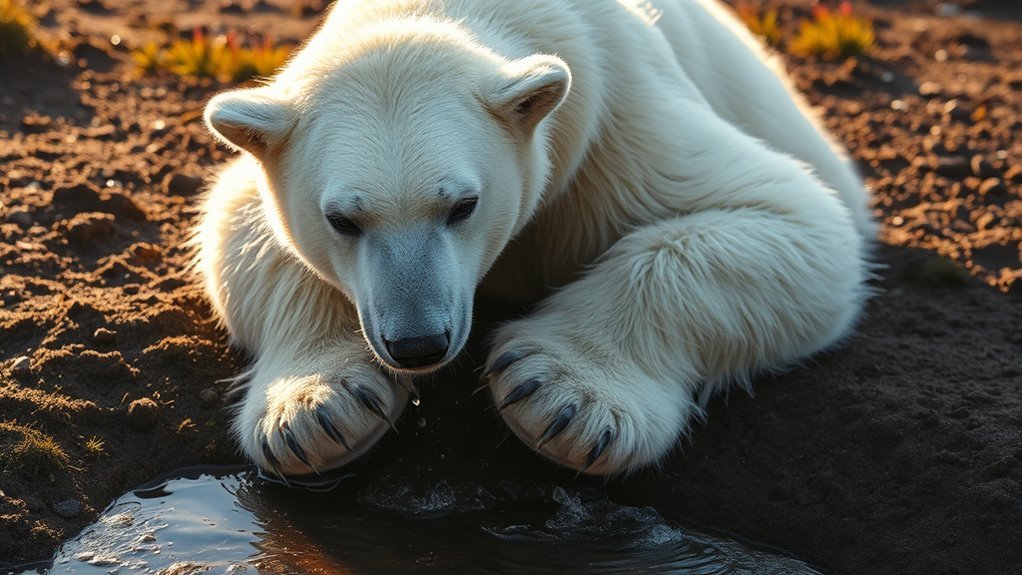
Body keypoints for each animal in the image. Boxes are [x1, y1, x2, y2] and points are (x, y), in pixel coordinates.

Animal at [195, 0, 874, 479]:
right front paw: (318, 410)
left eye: (462, 205)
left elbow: (796, 221)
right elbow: (242, 222)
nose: (417, 343)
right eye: (344, 219)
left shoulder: (615, 124)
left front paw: (559, 398)